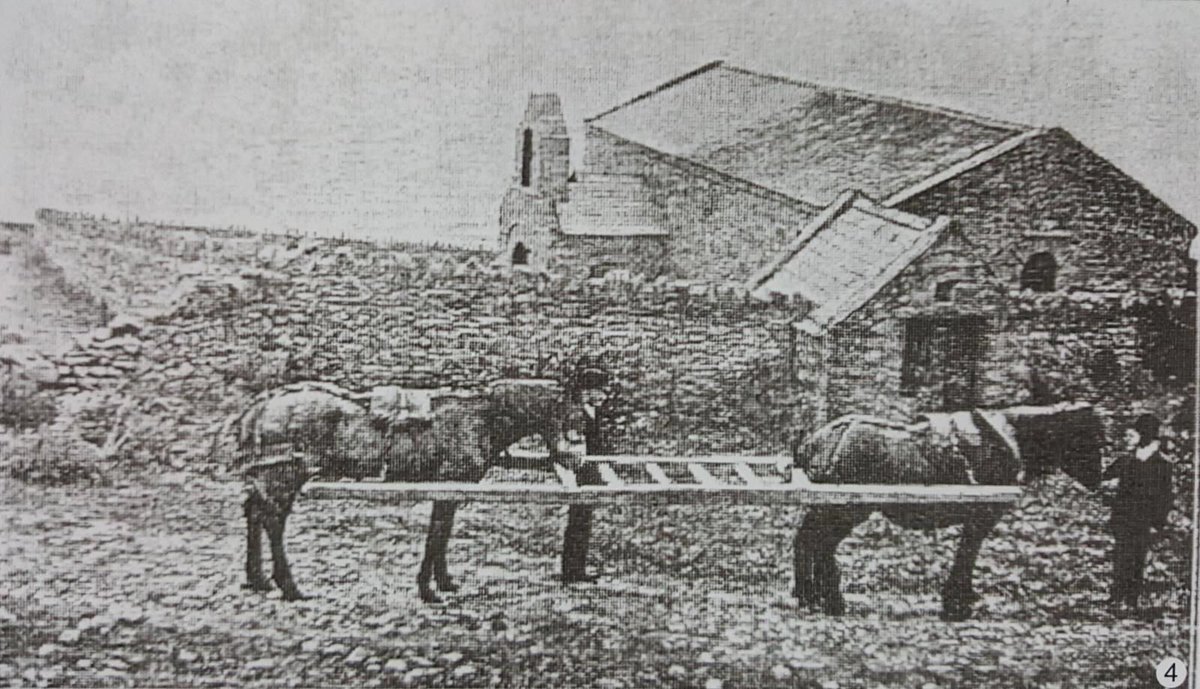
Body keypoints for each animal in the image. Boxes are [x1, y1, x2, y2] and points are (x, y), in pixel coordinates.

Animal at [220, 379, 595, 604]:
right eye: (575, 419)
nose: (576, 461)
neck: (481, 419)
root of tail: (263, 405)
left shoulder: (448, 493)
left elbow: (441, 535)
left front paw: (444, 582)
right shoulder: (446, 487)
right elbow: (436, 536)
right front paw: (429, 590)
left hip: (269, 478)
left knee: (254, 512)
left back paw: (258, 579)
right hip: (284, 477)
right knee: (272, 522)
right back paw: (289, 586)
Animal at [792, 403, 1099, 624]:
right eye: (1092, 437)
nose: (1099, 478)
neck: (1008, 438)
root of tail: (817, 441)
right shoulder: (982, 518)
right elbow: (967, 556)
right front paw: (957, 604)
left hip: (832, 509)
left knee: (810, 541)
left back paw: (812, 597)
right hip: (846, 509)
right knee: (818, 544)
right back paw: (828, 600)